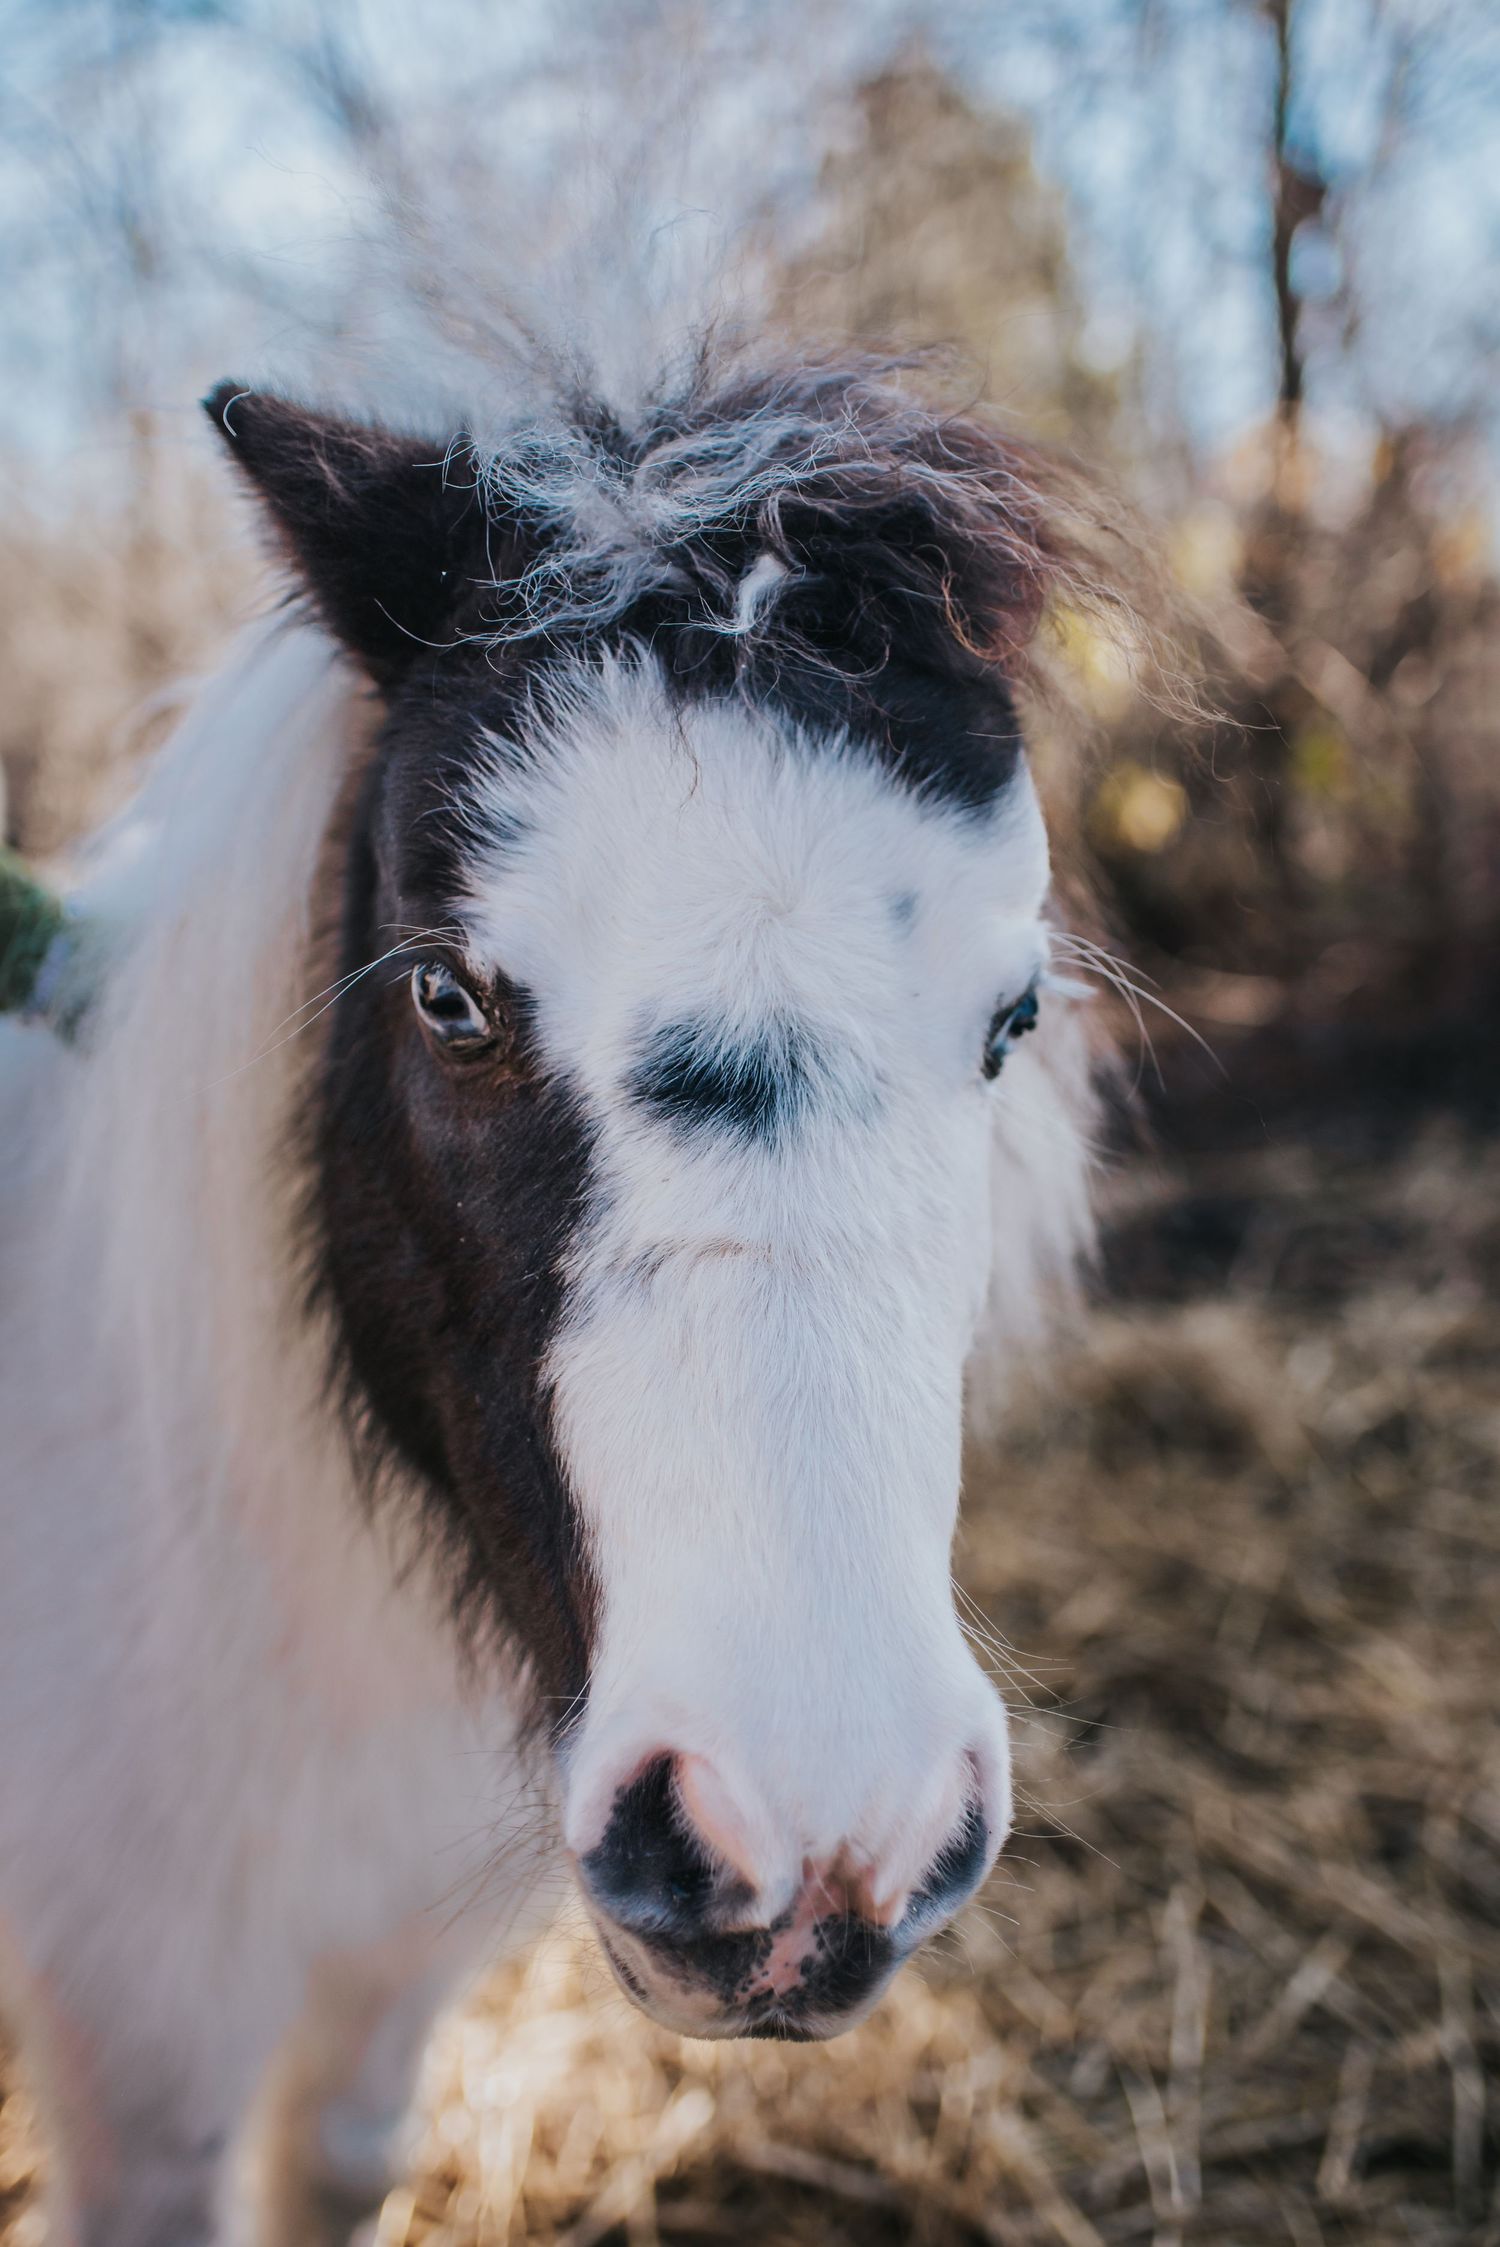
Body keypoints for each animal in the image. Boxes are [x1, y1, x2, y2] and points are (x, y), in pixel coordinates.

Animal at [0, 338, 1101, 2246]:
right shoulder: (141, 2026)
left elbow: (338, 2162)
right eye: (446, 995)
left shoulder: (395, 1964)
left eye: (1012, 1017)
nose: (821, 1841)